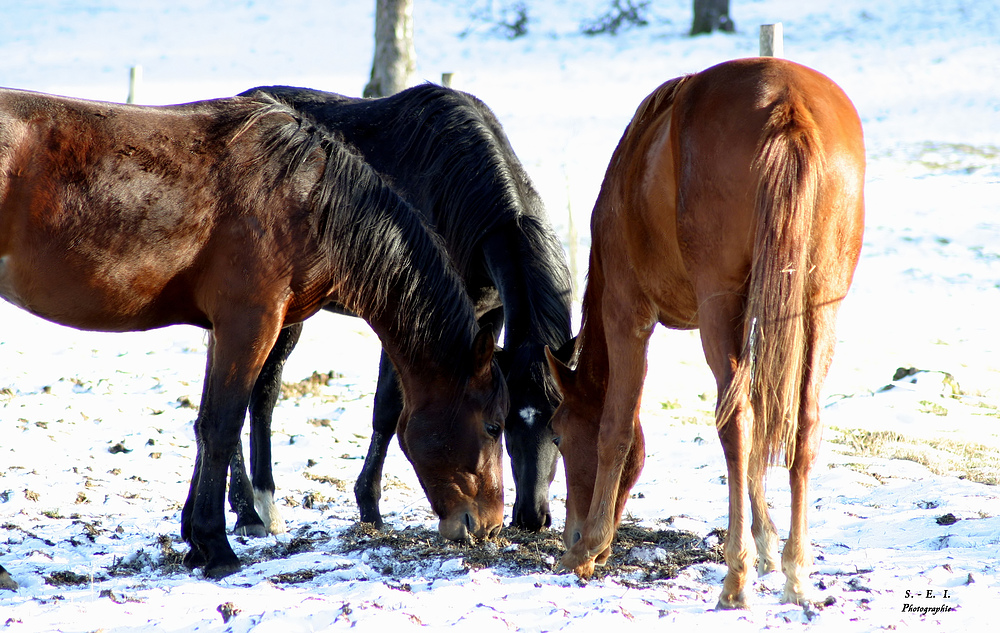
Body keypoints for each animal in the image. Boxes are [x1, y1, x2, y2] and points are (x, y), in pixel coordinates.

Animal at [0, 87, 508, 576]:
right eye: (494, 425)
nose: (489, 526)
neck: (306, 199)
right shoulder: (249, 321)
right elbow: (223, 425)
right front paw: (216, 546)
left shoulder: (225, 328)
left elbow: (206, 425)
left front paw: (195, 541)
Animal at [226, 84, 572, 536]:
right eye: (507, 422)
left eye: (558, 422)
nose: (532, 517)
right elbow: (387, 411)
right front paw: (369, 508)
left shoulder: (486, 320)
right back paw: (246, 510)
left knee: (264, 395)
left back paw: (264, 506)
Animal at [544, 59, 864, 608]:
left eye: (559, 435)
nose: (570, 533)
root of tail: (788, 102)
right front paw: (767, 541)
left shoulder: (627, 314)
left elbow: (614, 429)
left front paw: (588, 547)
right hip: (821, 303)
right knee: (802, 422)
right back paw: (796, 572)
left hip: (719, 306)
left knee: (735, 421)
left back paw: (735, 577)